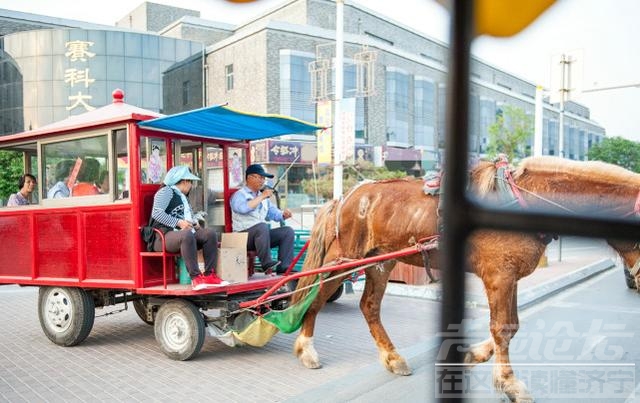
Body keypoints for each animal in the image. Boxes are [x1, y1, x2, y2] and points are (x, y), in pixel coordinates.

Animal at [292, 156, 640, 402]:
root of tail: (345, 197)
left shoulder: (509, 277)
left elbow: (512, 326)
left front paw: (475, 354)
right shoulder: (499, 276)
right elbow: (503, 329)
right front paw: (509, 384)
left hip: (380, 262)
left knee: (370, 306)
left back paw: (392, 357)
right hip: (344, 260)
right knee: (316, 296)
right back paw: (306, 349)